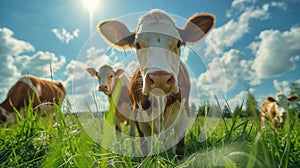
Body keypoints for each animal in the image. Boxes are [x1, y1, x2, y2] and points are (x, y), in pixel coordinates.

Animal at [97, 9, 214, 159]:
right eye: (137, 44)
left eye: (178, 43)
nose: (160, 78)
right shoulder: (137, 118)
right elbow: (145, 149)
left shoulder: (184, 114)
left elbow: (179, 149)